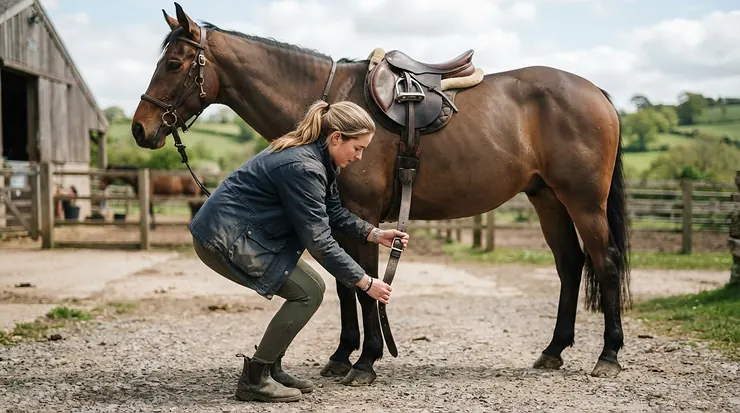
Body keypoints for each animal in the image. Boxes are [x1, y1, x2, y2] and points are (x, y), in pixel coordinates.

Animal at [131, 3, 631, 385]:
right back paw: (553, 350)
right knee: (569, 265)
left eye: (173, 64)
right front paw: (341, 356)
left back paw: (608, 355)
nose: (140, 128)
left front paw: (366, 361)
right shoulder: (337, 218)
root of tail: (596, 92)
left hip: (583, 201)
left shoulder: (364, 213)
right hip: (547, 199)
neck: (330, 107)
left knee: (604, 262)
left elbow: (367, 283)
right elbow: (346, 285)